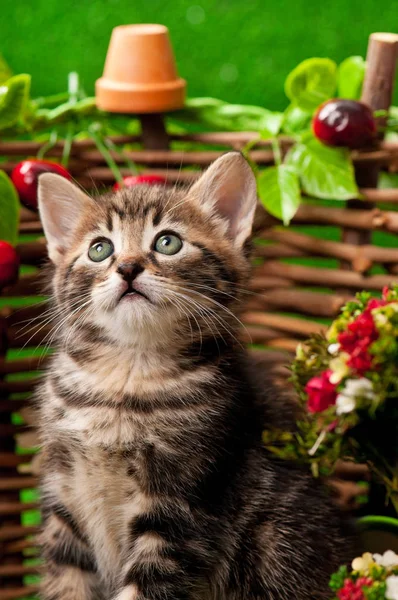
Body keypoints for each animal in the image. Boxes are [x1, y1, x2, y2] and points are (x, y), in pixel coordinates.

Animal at [37, 154, 346, 600]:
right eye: (100, 249)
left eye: (168, 242)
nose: (128, 267)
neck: (124, 376)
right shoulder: (63, 495)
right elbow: (67, 580)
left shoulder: (183, 504)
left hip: (275, 544)